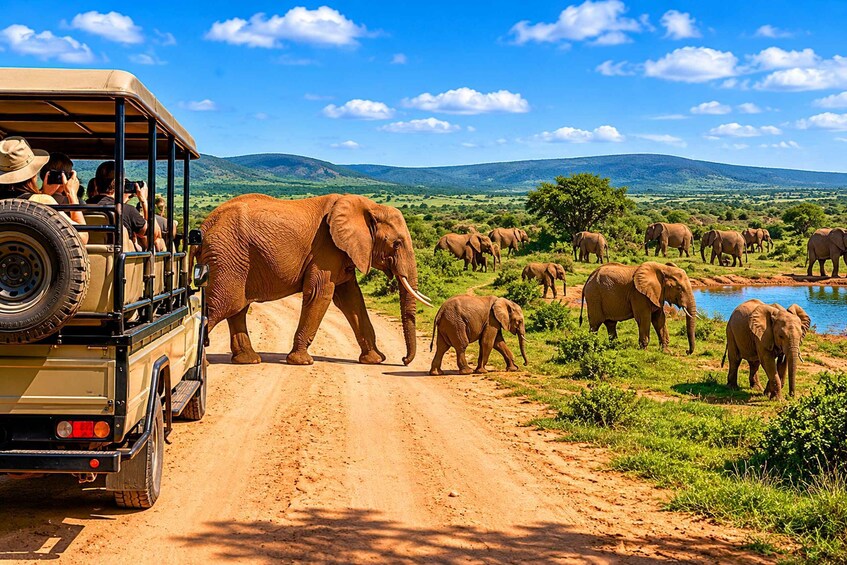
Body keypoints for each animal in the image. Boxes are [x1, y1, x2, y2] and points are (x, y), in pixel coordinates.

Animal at [197, 193, 431, 366]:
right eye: (397, 244)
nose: (404, 360)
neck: (369, 206)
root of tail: (205, 225)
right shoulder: (326, 248)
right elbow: (321, 293)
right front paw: (301, 362)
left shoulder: (342, 252)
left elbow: (352, 300)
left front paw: (374, 360)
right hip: (227, 256)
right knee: (223, 305)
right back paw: (204, 366)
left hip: (235, 260)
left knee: (237, 308)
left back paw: (248, 360)